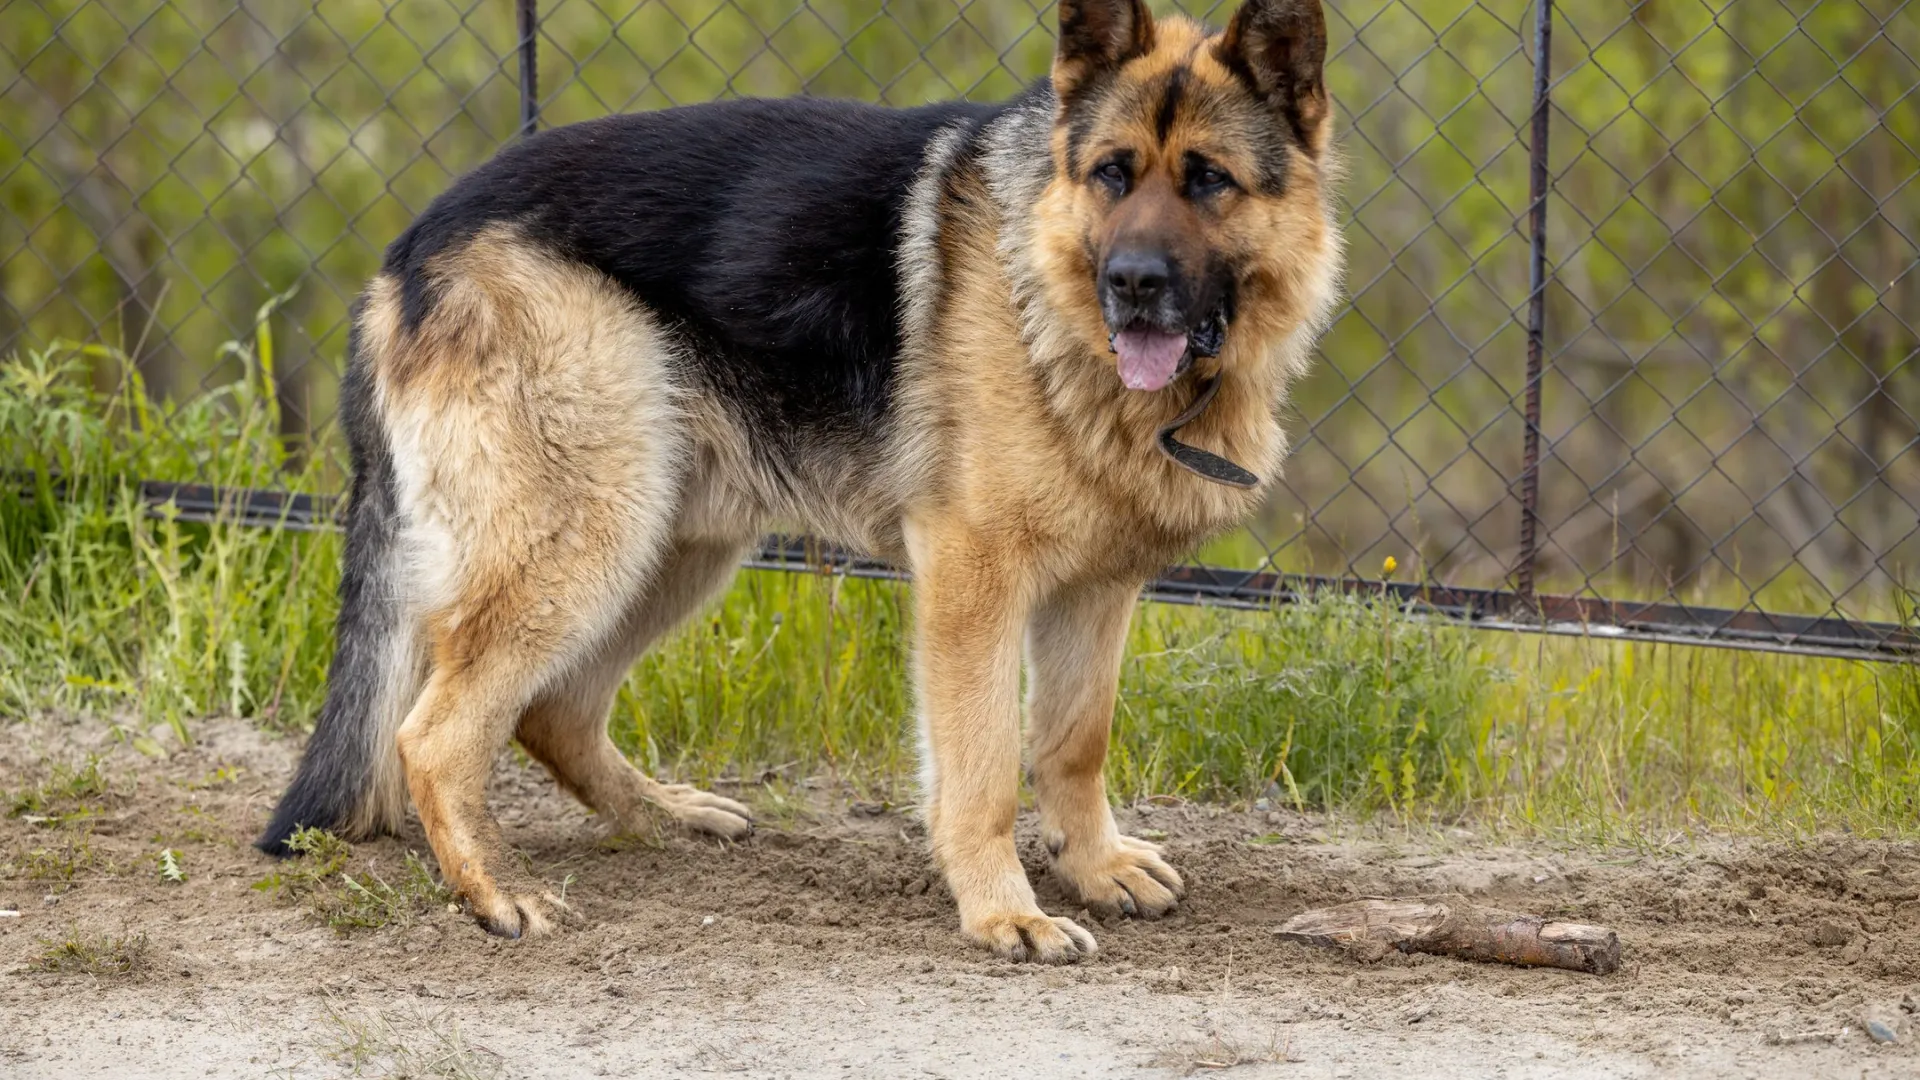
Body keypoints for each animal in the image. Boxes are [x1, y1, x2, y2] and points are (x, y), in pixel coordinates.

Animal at [259, 0, 1336, 957]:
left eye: (1208, 181)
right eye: (1112, 174)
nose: (1132, 285)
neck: (1044, 280)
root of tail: (405, 252)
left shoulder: (1096, 591)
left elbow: (1075, 743)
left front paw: (1094, 866)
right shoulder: (972, 584)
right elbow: (985, 768)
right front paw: (1003, 912)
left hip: (667, 544)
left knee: (549, 711)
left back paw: (658, 813)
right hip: (590, 538)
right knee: (436, 735)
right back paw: (494, 891)